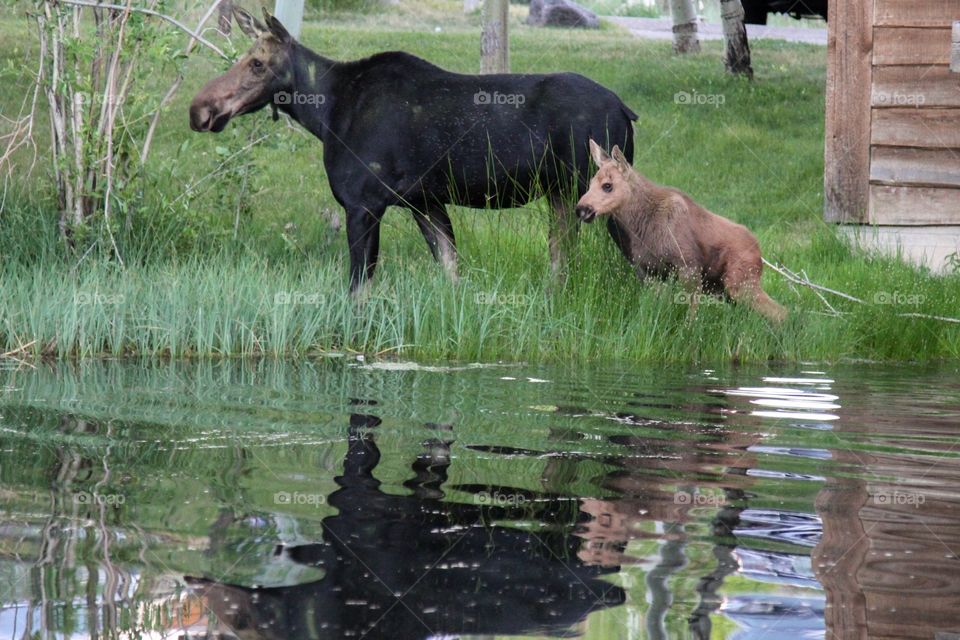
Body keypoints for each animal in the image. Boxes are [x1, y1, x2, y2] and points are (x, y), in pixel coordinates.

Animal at [189, 6, 636, 292]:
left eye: (257, 63)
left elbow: (358, 290)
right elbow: (452, 273)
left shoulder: (363, 203)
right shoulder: (425, 202)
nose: (200, 109)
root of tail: (626, 109)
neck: (326, 115)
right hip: (566, 196)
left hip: (592, 195)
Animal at [572, 138, 784, 322]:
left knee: (781, 312)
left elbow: (691, 315)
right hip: (725, 288)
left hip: (740, 283)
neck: (639, 224)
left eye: (607, 186)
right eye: (589, 184)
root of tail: (759, 250)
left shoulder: (688, 266)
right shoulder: (648, 270)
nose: (581, 209)